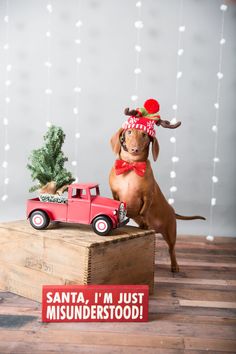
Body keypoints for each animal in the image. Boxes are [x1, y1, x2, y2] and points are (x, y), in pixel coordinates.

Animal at [109, 108, 206, 272]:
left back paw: (175, 266)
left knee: (172, 249)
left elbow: (143, 211)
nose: (134, 149)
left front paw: (144, 223)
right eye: (129, 132)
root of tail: (173, 211)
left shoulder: (148, 196)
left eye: (144, 135)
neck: (132, 167)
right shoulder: (115, 194)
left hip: (171, 232)